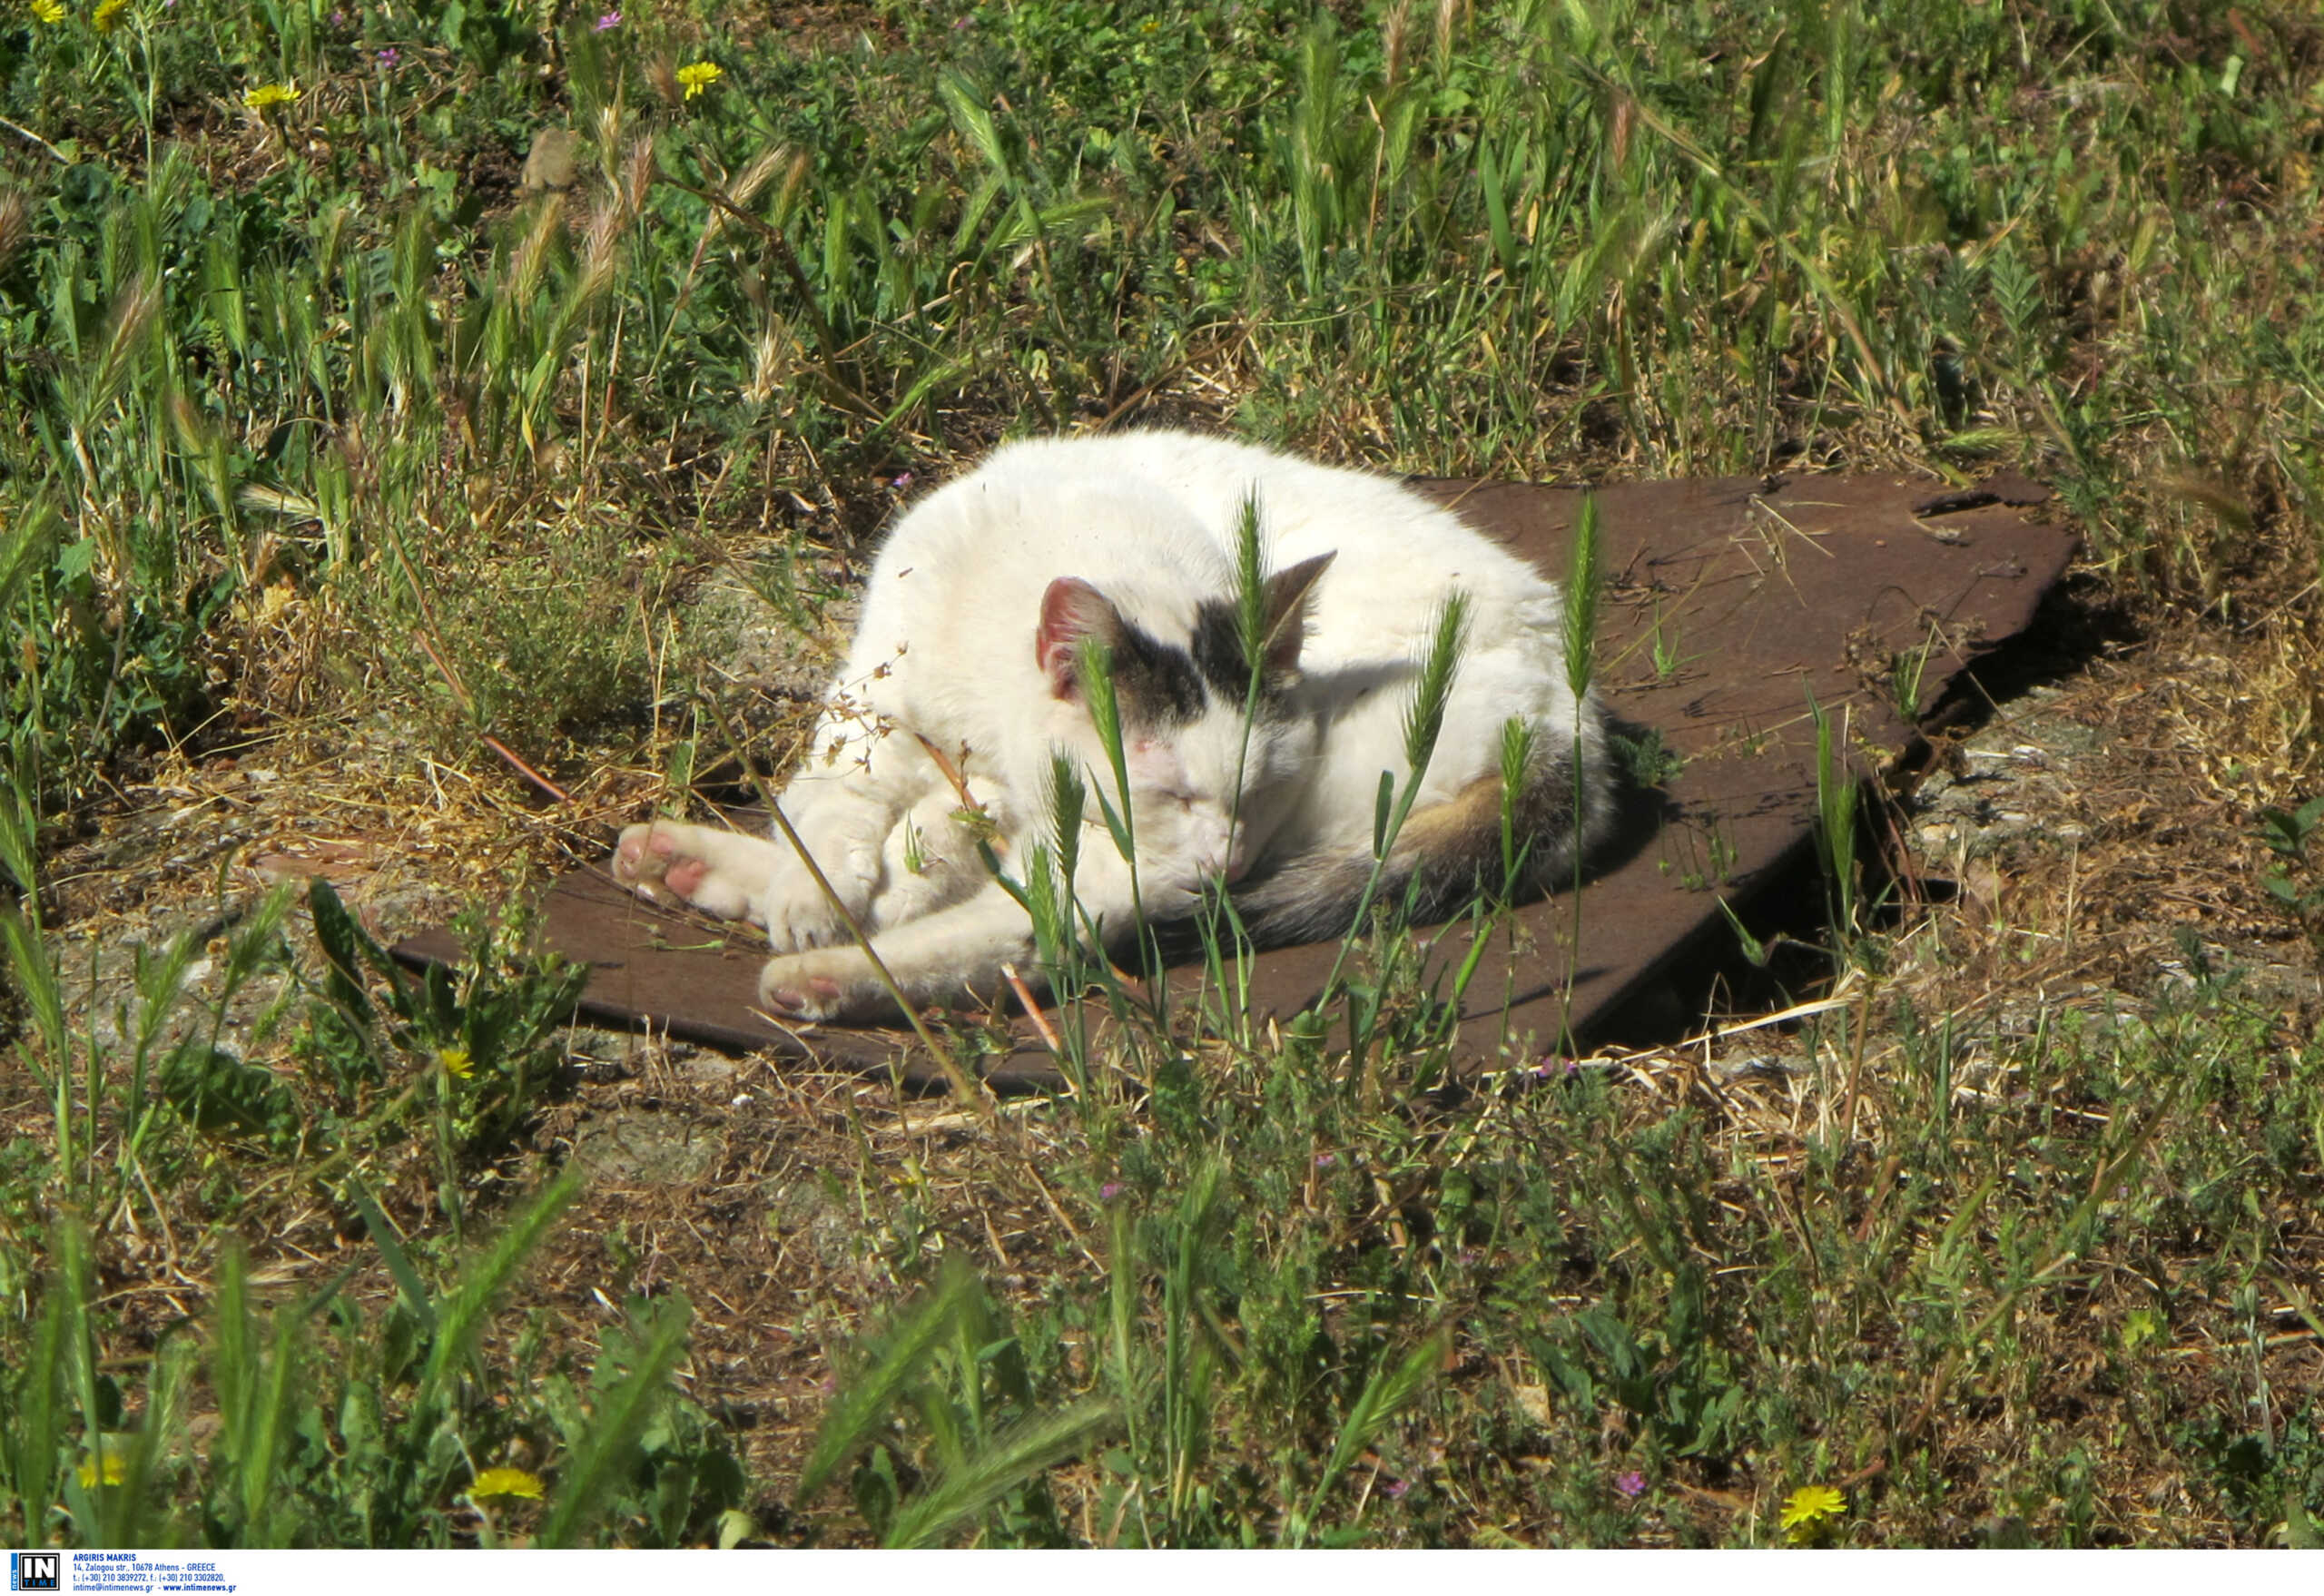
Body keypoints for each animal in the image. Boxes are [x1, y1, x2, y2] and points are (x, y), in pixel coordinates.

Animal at [608, 427, 1608, 1021]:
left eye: (1263, 787)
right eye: (1171, 788)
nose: (1225, 861)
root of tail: (1578, 741)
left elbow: (931, 850)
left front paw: (877, 886)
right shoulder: (879, 696)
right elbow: (834, 793)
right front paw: (819, 888)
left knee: (1043, 931)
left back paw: (826, 975)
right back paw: (689, 863)